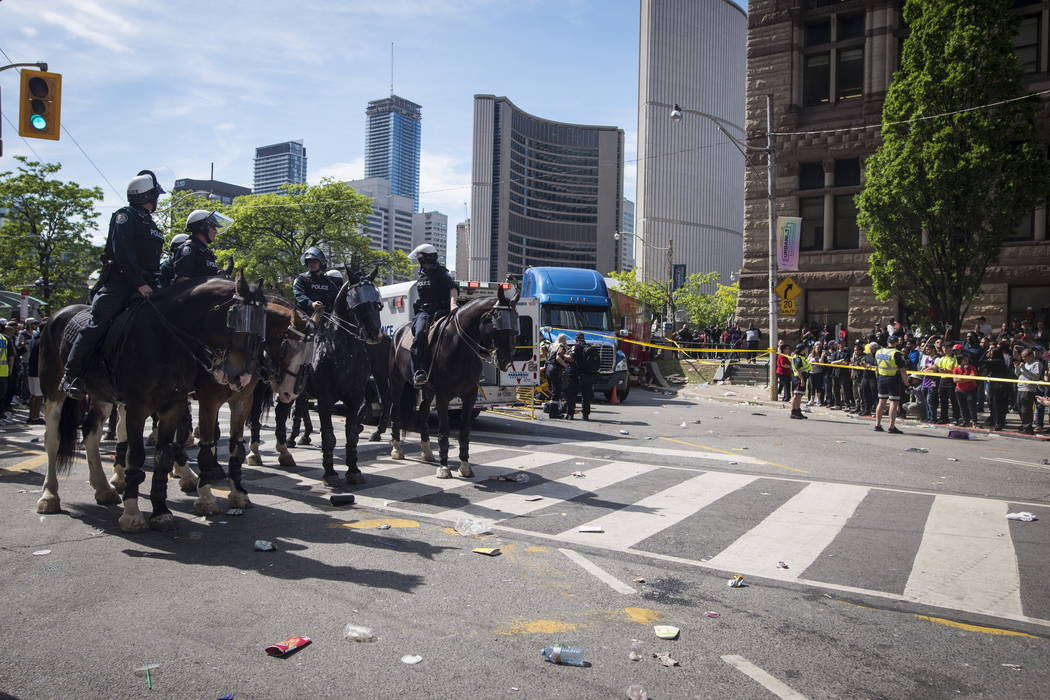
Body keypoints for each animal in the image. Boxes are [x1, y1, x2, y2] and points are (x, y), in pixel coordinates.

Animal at [388, 285, 518, 476]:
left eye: (516, 324)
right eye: (497, 323)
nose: (506, 361)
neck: (460, 347)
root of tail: (398, 332)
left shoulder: (469, 395)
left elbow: (464, 431)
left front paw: (465, 466)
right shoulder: (443, 396)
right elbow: (444, 432)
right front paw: (444, 468)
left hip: (427, 391)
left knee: (423, 414)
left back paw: (427, 452)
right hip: (397, 383)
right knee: (395, 411)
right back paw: (397, 449)